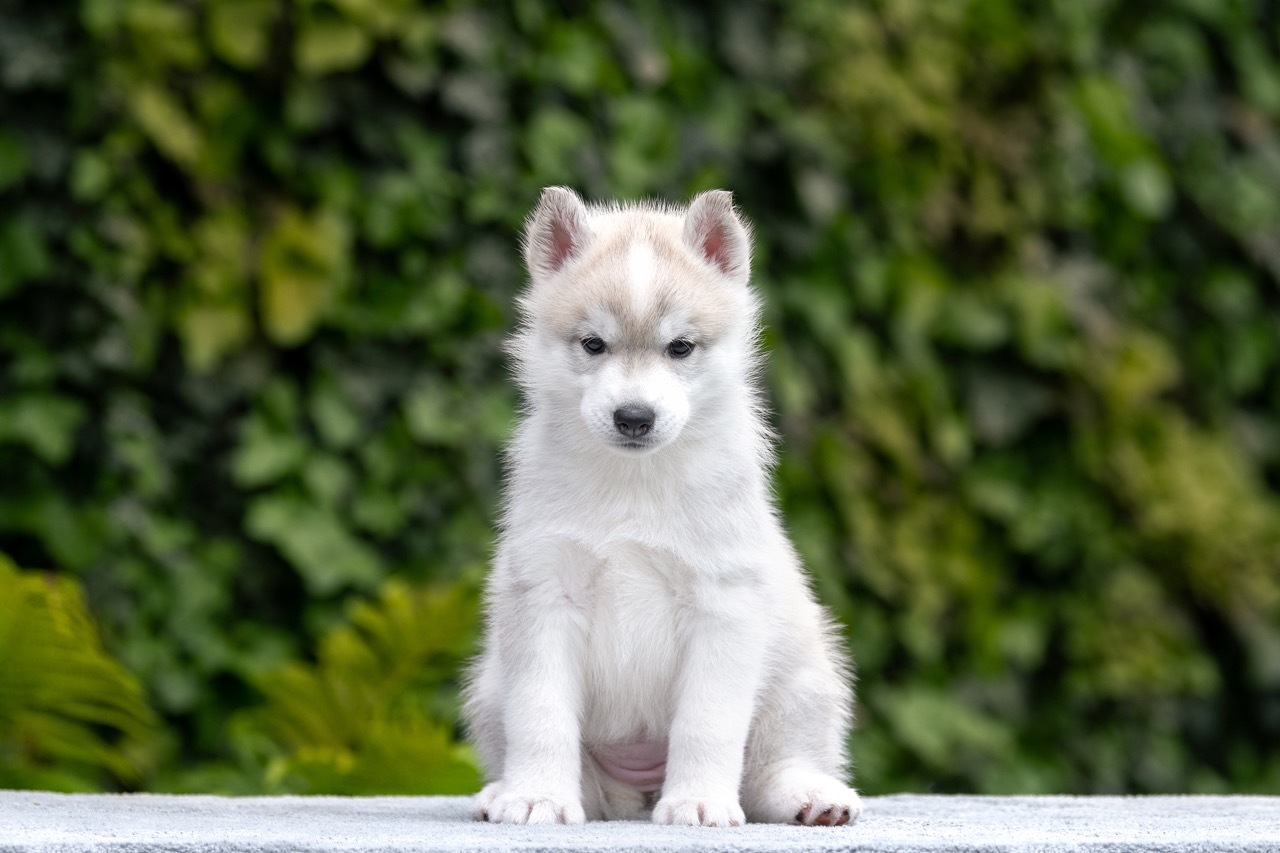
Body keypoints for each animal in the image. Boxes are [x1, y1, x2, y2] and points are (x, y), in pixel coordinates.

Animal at [460, 185, 860, 824]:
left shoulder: (722, 603)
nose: (634, 417)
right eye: (593, 344)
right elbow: (542, 717)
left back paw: (810, 796)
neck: (634, 481)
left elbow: (707, 723)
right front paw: (538, 797)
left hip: (803, 681)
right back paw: (504, 791)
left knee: (774, 765)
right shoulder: (545, 592)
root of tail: (637, 793)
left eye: (680, 347)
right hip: (491, 685)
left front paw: (697, 802)